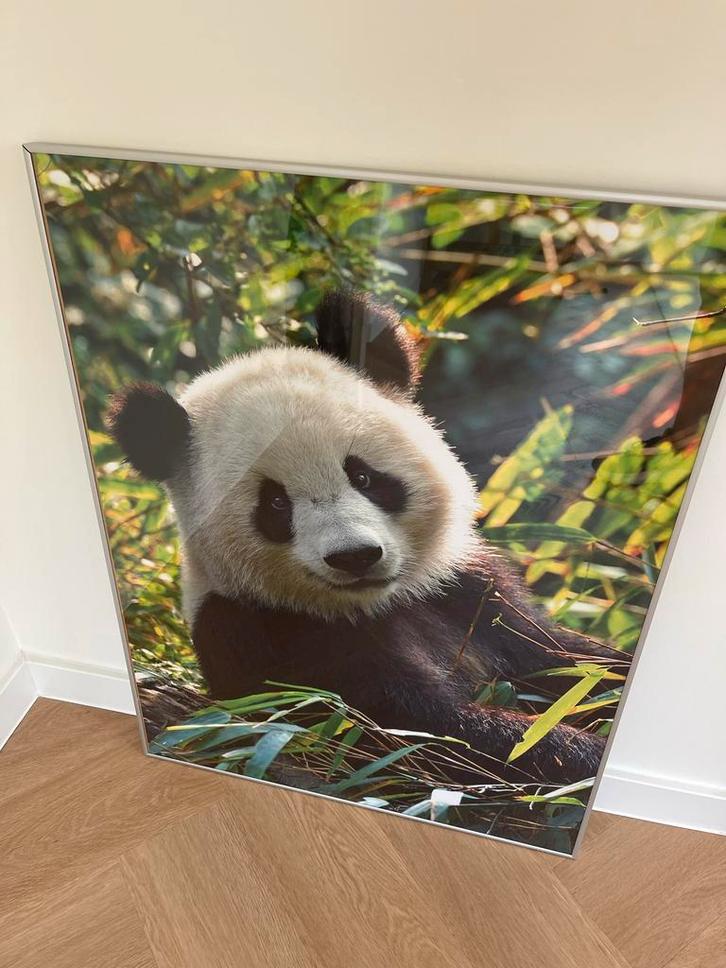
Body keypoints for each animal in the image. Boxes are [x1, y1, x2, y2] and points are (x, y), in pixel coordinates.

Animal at [109, 291, 629, 786]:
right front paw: (580, 756)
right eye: (275, 503)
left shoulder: (469, 594)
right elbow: (424, 735)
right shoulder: (271, 640)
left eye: (362, 476)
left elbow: (571, 663)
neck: (376, 604)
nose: (355, 556)